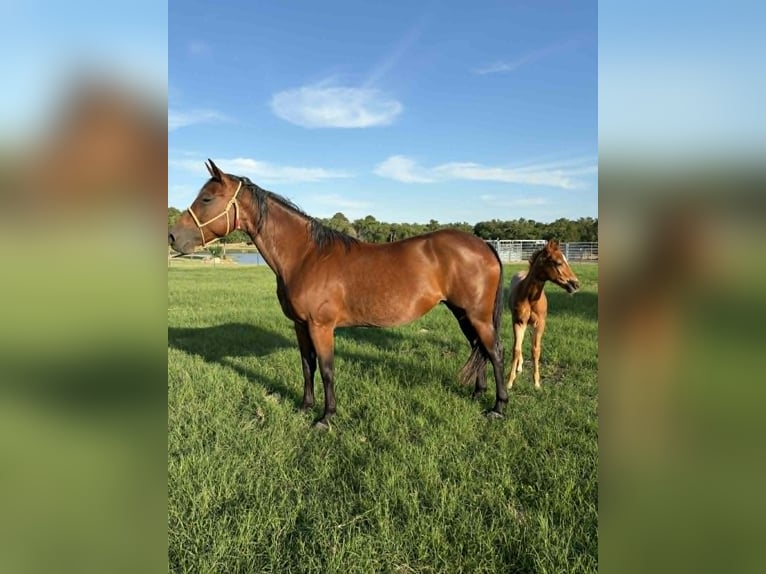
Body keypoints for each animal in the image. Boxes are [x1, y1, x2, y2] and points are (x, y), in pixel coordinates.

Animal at [169, 159, 507, 428]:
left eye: (207, 198)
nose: (172, 236)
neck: (306, 256)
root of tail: (484, 246)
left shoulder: (322, 327)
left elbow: (327, 370)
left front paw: (326, 417)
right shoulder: (300, 326)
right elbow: (307, 366)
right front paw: (304, 407)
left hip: (476, 315)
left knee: (495, 352)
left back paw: (498, 407)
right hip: (462, 314)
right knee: (479, 350)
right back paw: (477, 393)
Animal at [506, 240, 580, 390]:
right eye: (558, 262)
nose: (575, 284)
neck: (530, 298)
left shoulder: (539, 324)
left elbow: (536, 350)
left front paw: (536, 383)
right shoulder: (518, 322)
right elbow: (516, 349)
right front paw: (510, 382)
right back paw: (519, 367)